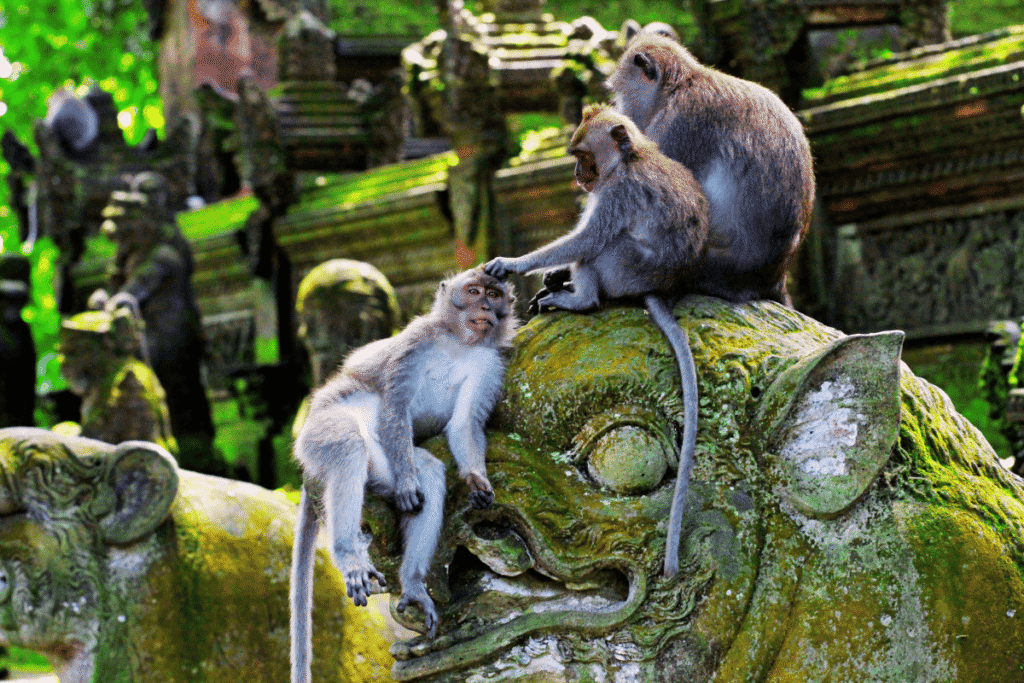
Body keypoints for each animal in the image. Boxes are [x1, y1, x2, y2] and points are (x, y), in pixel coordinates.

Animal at [290, 267, 517, 683]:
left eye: (494, 294)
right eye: (473, 291)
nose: (484, 307)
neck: (459, 343)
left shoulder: (491, 364)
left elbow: (463, 425)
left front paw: (476, 480)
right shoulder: (416, 342)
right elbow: (396, 406)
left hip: (384, 464)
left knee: (428, 470)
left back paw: (412, 583)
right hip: (323, 429)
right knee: (349, 446)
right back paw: (349, 555)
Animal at [484, 105, 708, 577]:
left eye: (584, 156)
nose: (576, 174)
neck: (629, 160)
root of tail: (660, 288)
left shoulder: (617, 194)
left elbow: (587, 238)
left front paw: (514, 263)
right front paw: (550, 274)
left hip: (625, 268)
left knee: (600, 246)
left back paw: (580, 299)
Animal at [608, 33, 815, 306]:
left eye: (619, 93)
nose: (621, 112)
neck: (680, 86)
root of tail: (775, 277)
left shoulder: (678, 125)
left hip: (712, 267)